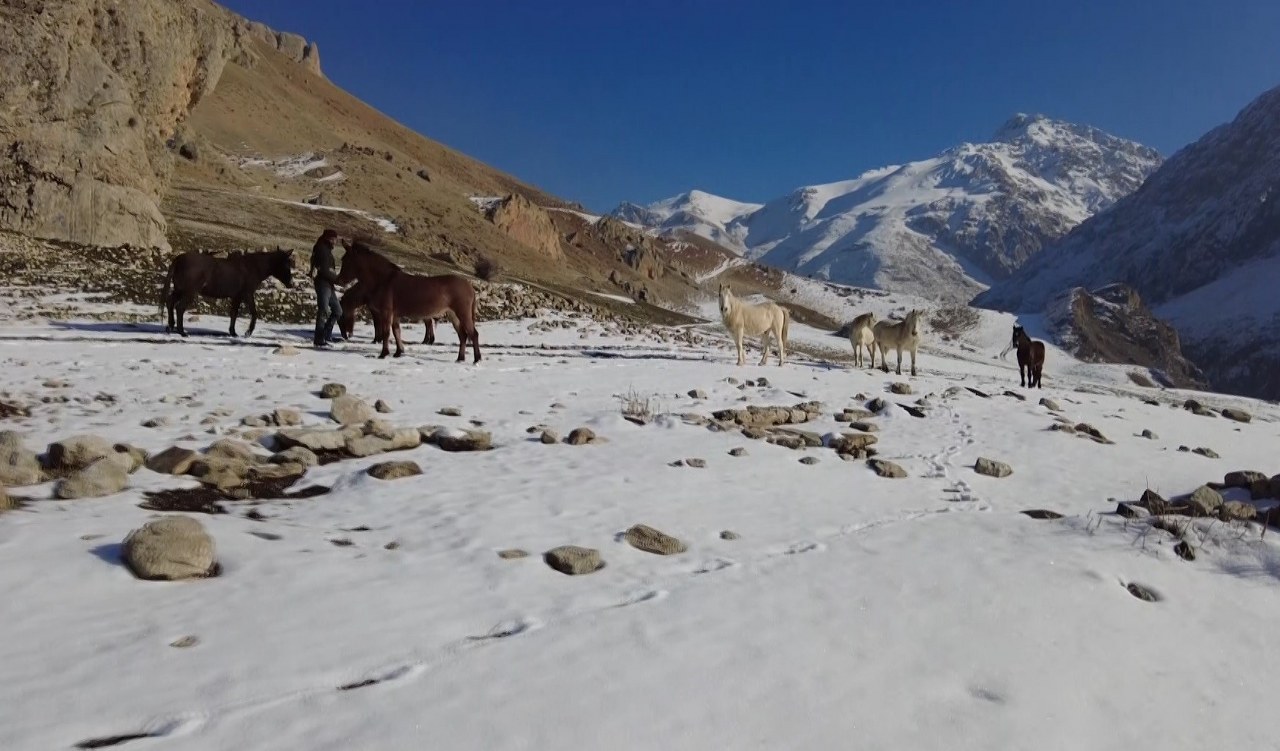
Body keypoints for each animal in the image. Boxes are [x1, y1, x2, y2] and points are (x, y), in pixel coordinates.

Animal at [162, 249, 294, 337]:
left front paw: (233, 332)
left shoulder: (237, 296)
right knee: (179, 307)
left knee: (170, 302)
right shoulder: (247, 294)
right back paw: (182, 332)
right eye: (286, 264)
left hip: (180, 290)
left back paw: (170, 326)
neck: (254, 267)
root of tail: (179, 259)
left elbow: (234, 313)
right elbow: (254, 313)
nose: (291, 284)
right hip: (189, 291)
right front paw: (248, 332)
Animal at [335, 239, 481, 360]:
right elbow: (396, 332)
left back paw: (476, 359)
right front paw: (398, 352)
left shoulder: (386, 312)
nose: (338, 280)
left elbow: (386, 333)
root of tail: (469, 286)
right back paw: (460, 358)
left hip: (462, 313)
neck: (383, 280)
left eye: (345, 260)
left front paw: (383, 353)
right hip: (453, 315)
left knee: (473, 334)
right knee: (463, 335)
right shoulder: (394, 315)